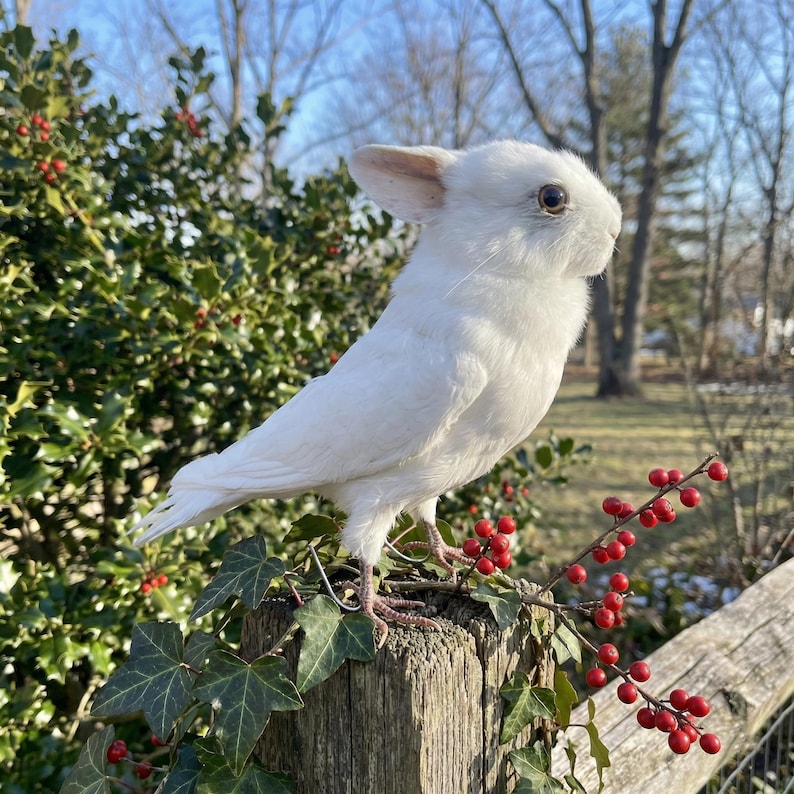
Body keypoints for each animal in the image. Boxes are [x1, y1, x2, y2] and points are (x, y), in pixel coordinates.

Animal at [131, 140, 622, 643]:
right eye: (552, 198)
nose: (615, 228)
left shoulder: (429, 487)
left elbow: (430, 523)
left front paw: (450, 558)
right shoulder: (375, 499)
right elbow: (366, 556)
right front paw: (379, 610)